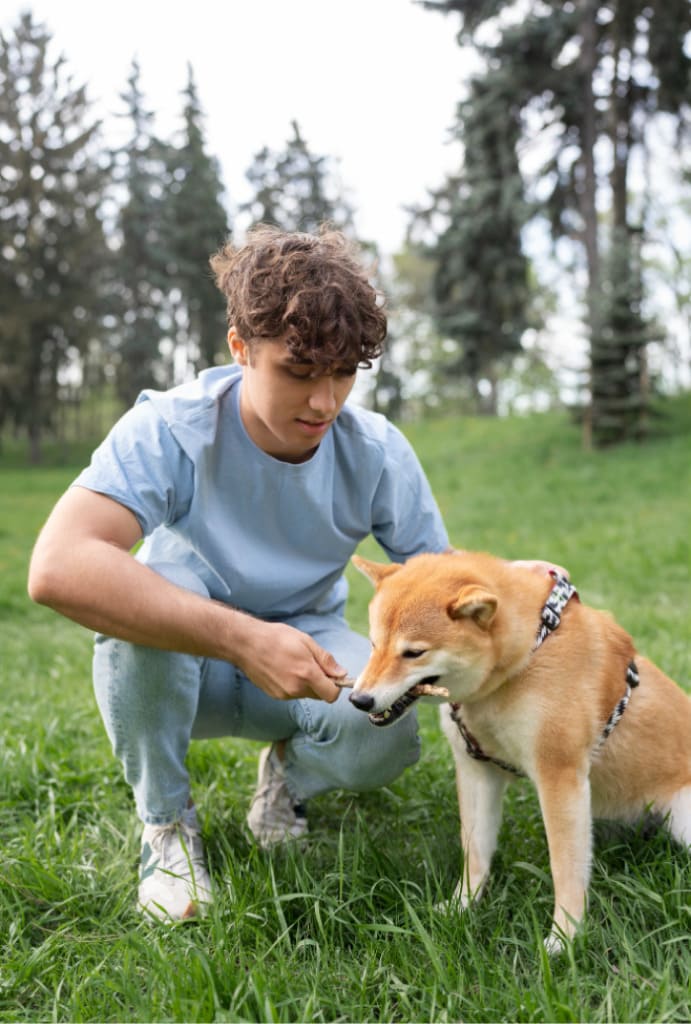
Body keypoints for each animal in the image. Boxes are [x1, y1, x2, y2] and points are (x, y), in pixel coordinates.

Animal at [352, 552, 691, 950]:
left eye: (413, 653)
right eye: (374, 643)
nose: (359, 700)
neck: (526, 656)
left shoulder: (559, 776)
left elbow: (565, 869)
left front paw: (564, 940)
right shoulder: (476, 770)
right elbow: (475, 851)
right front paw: (461, 906)